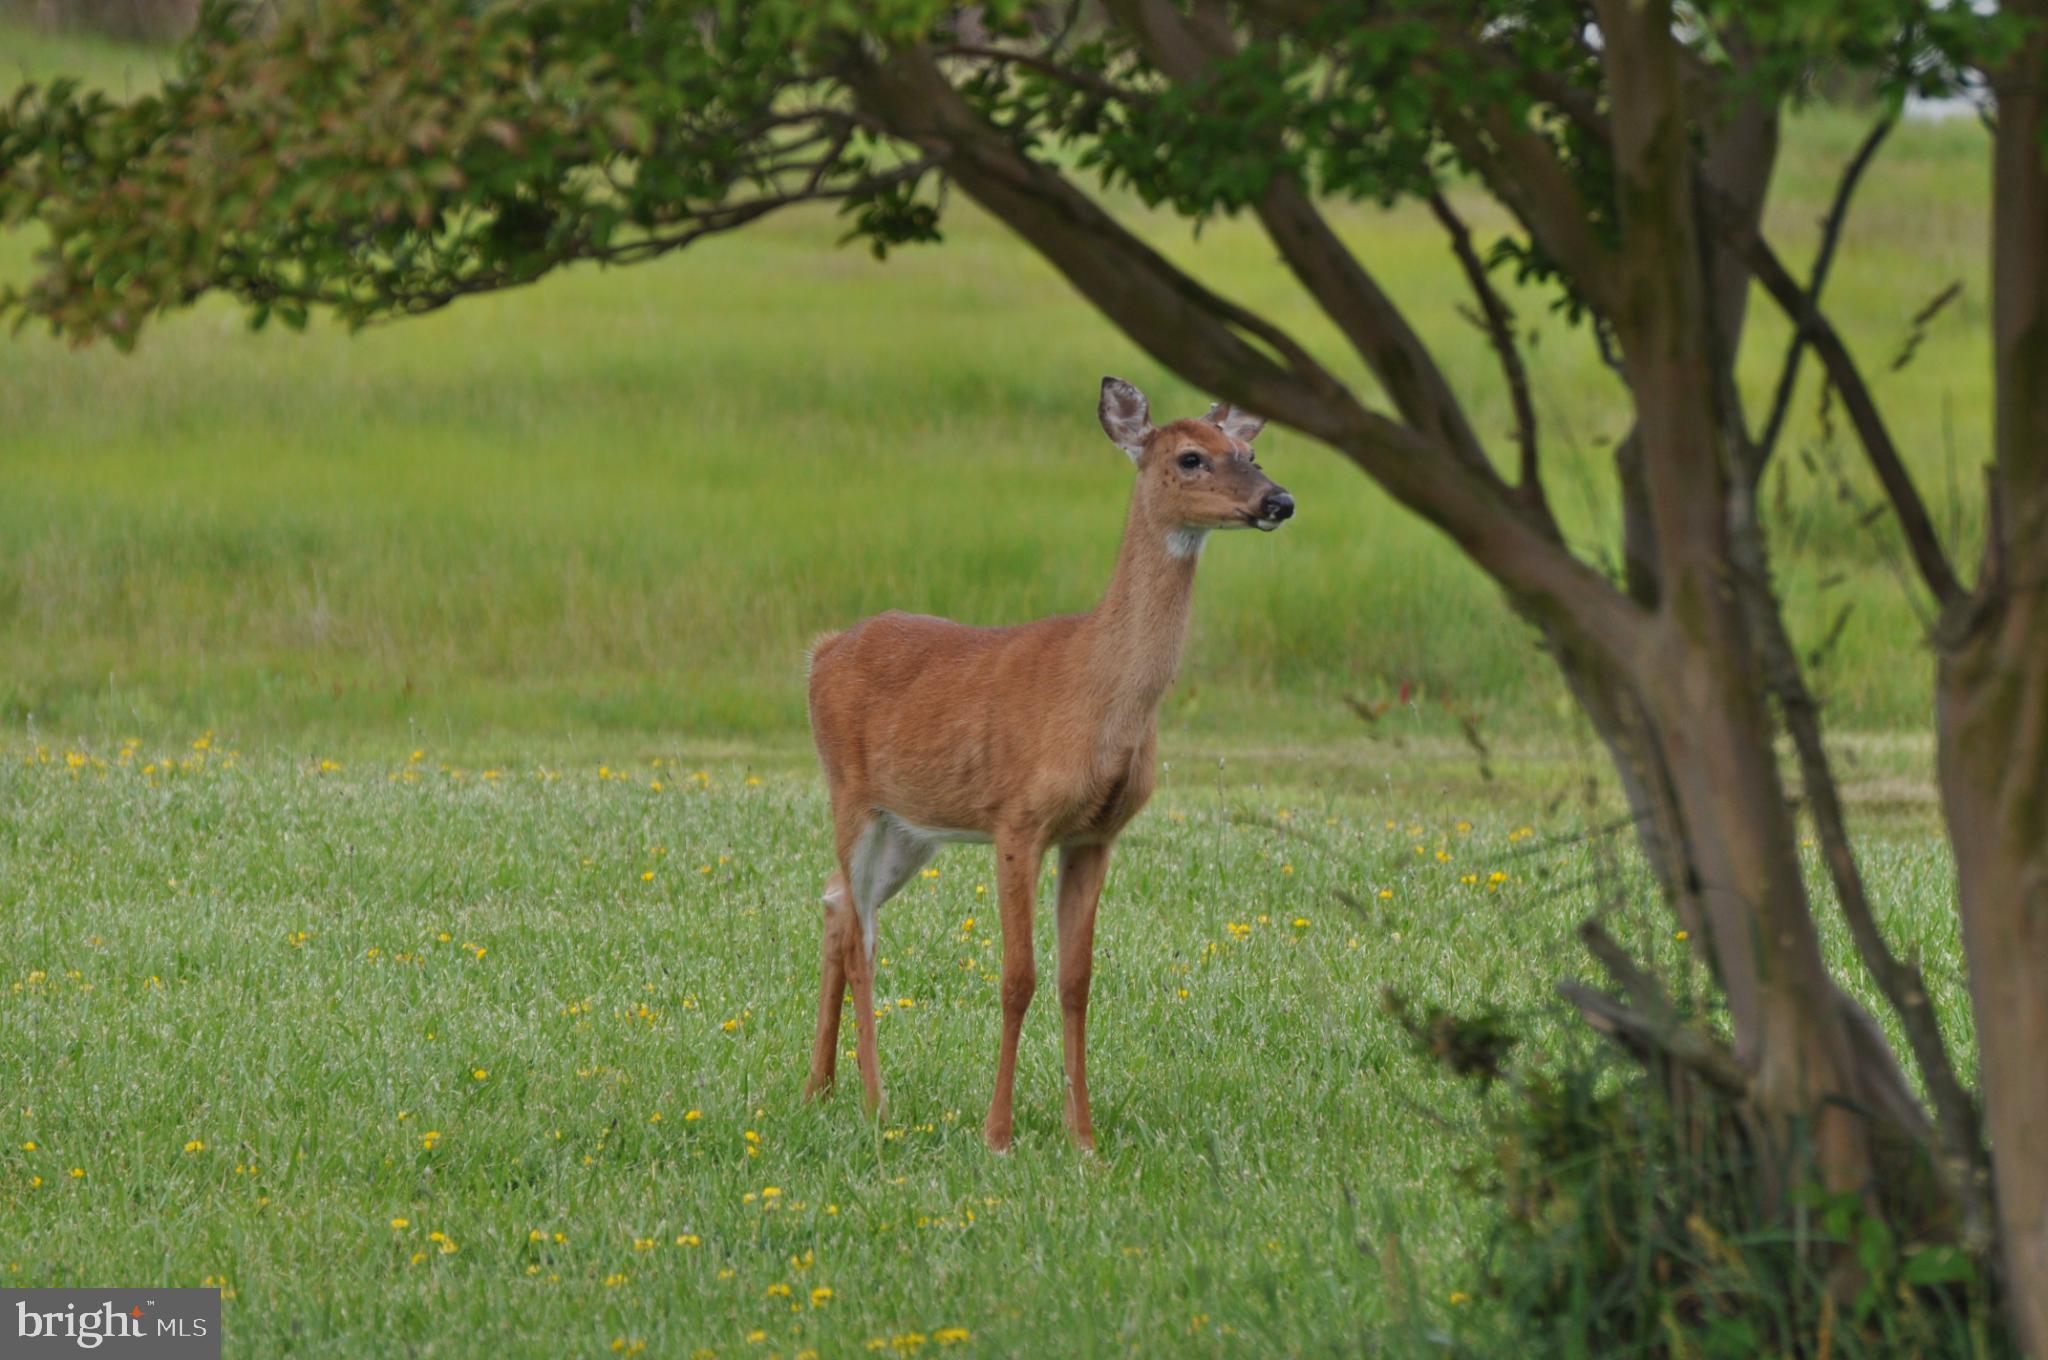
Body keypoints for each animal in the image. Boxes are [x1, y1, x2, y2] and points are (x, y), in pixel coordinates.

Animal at [803, 376, 1294, 1150]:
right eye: (1190, 457)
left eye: (1250, 452)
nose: (1279, 500)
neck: (1095, 690)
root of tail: (819, 653)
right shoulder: (1019, 821)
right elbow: (1018, 977)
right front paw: (998, 1133)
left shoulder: (1094, 834)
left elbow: (1075, 980)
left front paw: (1082, 1137)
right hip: (852, 794)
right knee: (860, 937)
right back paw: (877, 1104)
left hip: (912, 826)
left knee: (836, 905)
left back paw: (818, 1090)